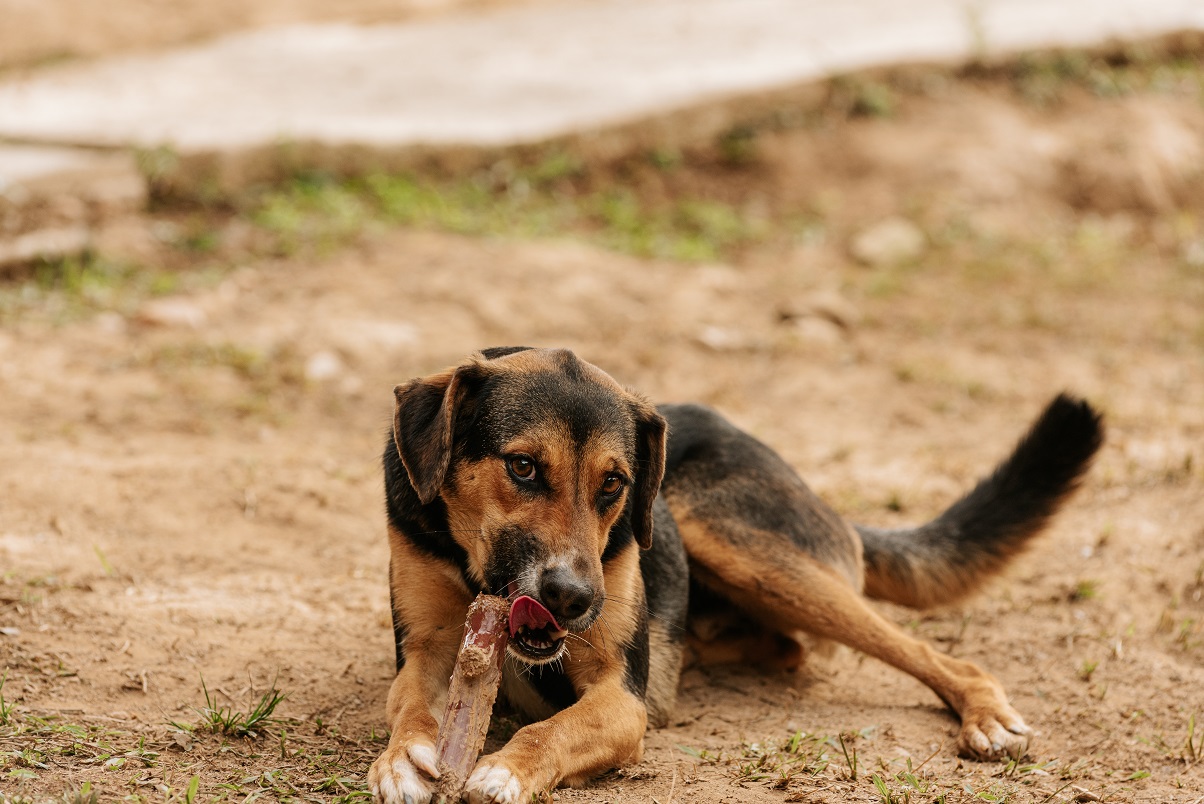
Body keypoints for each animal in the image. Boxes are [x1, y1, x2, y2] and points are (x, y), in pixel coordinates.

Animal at [370, 346, 1102, 804]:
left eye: (614, 485)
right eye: (522, 467)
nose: (575, 600)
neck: (478, 569)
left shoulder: (623, 697)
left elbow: (553, 728)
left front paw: (508, 770)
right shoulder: (430, 650)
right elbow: (409, 705)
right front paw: (401, 757)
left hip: (726, 535)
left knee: (930, 653)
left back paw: (984, 713)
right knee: (784, 647)